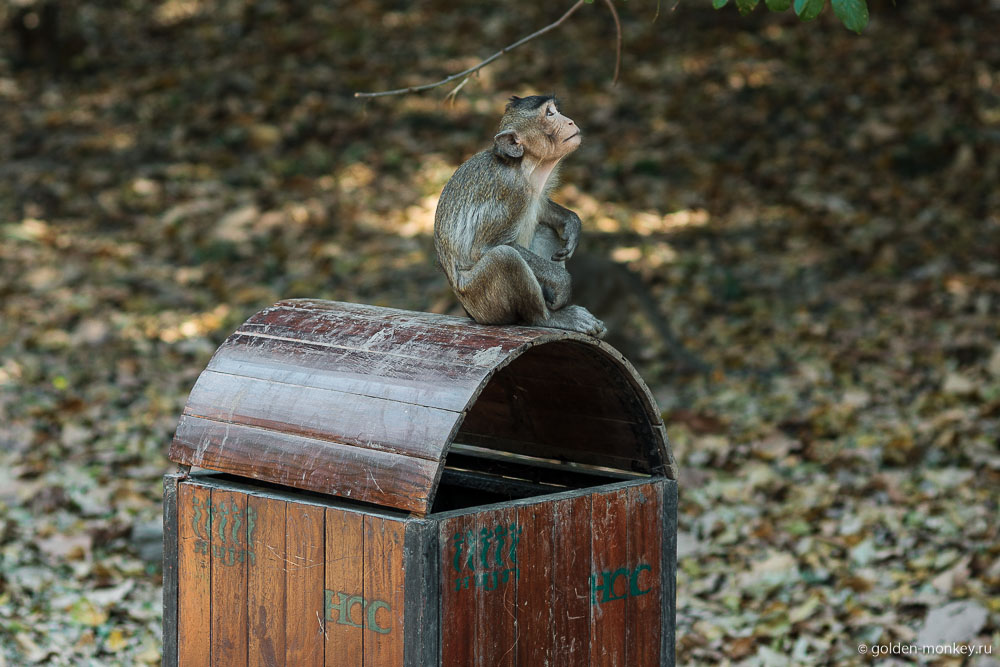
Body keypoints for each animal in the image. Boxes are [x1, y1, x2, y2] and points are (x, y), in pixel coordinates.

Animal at [434, 94, 604, 340]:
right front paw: (562, 282)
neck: (526, 165)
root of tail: (471, 314)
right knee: (505, 258)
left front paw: (572, 222)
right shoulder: (512, 191)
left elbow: (542, 209)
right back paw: (547, 318)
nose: (570, 121)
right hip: (481, 301)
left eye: (555, 110)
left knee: (544, 231)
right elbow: (484, 248)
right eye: (549, 114)